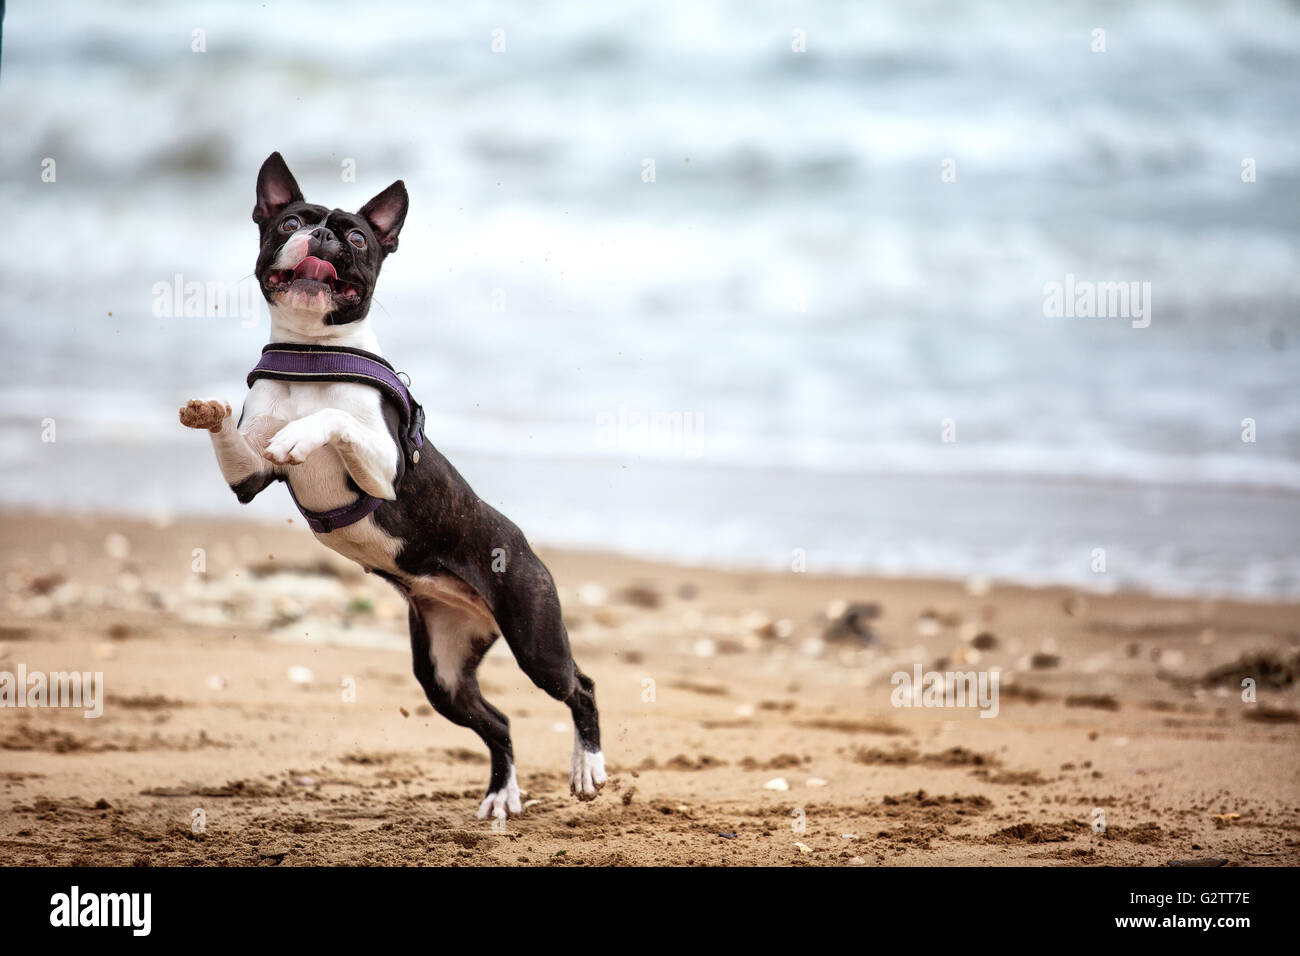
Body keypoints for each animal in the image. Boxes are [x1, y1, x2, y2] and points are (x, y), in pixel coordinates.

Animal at [180, 153, 605, 816]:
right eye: (291, 222)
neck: (312, 355)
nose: (322, 234)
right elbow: (238, 436)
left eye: (357, 238)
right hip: (442, 671)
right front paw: (210, 411)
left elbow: (334, 422)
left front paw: (302, 436)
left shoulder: (383, 470)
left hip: (534, 636)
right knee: (497, 721)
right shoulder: (249, 477)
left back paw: (587, 766)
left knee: (578, 686)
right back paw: (501, 795)